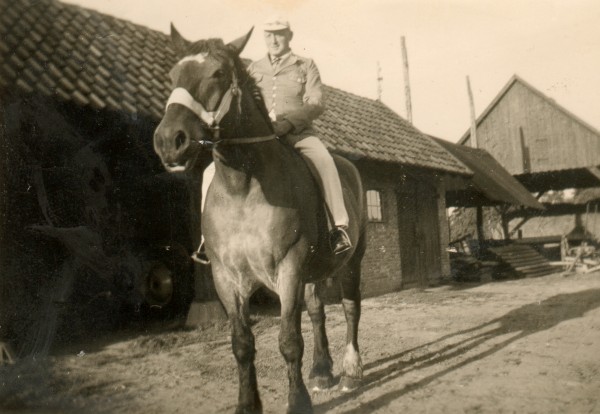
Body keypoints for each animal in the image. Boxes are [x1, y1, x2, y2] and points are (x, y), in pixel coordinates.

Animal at [154, 26, 366, 414]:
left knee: (350, 308)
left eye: (218, 73)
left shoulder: (289, 269)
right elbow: (241, 344)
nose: (168, 141)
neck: (244, 187)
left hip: (351, 262)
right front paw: (247, 404)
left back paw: (349, 372)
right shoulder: (226, 278)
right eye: (174, 75)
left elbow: (289, 340)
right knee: (318, 311)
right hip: (314, 272)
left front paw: (297, 402)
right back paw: (321, 371)